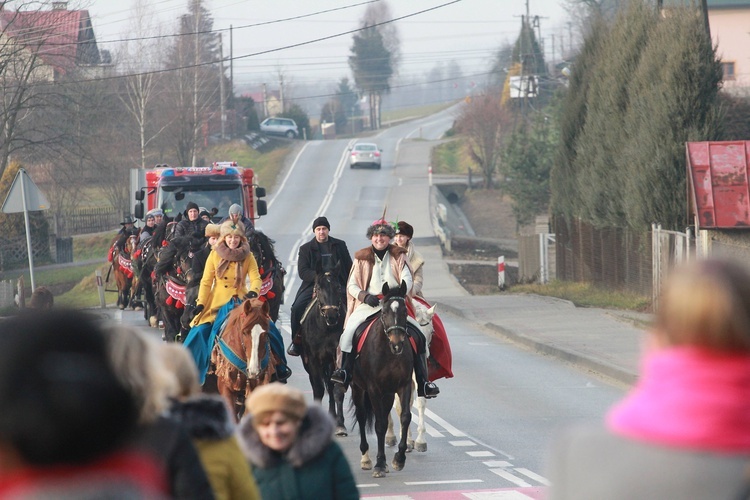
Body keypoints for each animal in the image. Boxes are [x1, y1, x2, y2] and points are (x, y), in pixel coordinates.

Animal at [300, 264, 346, 436]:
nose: (331, 315)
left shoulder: (336, 358)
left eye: (338, 287)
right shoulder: (313, 359)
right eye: (319, 288)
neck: (326, 328)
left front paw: (340, 424)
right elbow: (319, 389)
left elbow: (337, 389)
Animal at [352, 280, 414, 478]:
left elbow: (405, 417)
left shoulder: (404, 385)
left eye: (405, 312)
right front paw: (380, 463)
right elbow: (379, 424)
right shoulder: (374, 389)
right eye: (385, 312)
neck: (389, 353)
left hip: (388, 394)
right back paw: (366, 458)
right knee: (362, 416)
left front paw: (399, 459)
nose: (397, 344)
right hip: (357, 387)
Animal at [388, 300, 434, 454]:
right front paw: (406, 441)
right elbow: (399, 407)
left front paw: (420, 441)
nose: (425, 354)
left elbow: (420, 402)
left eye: (432, 331)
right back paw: (390, 435)